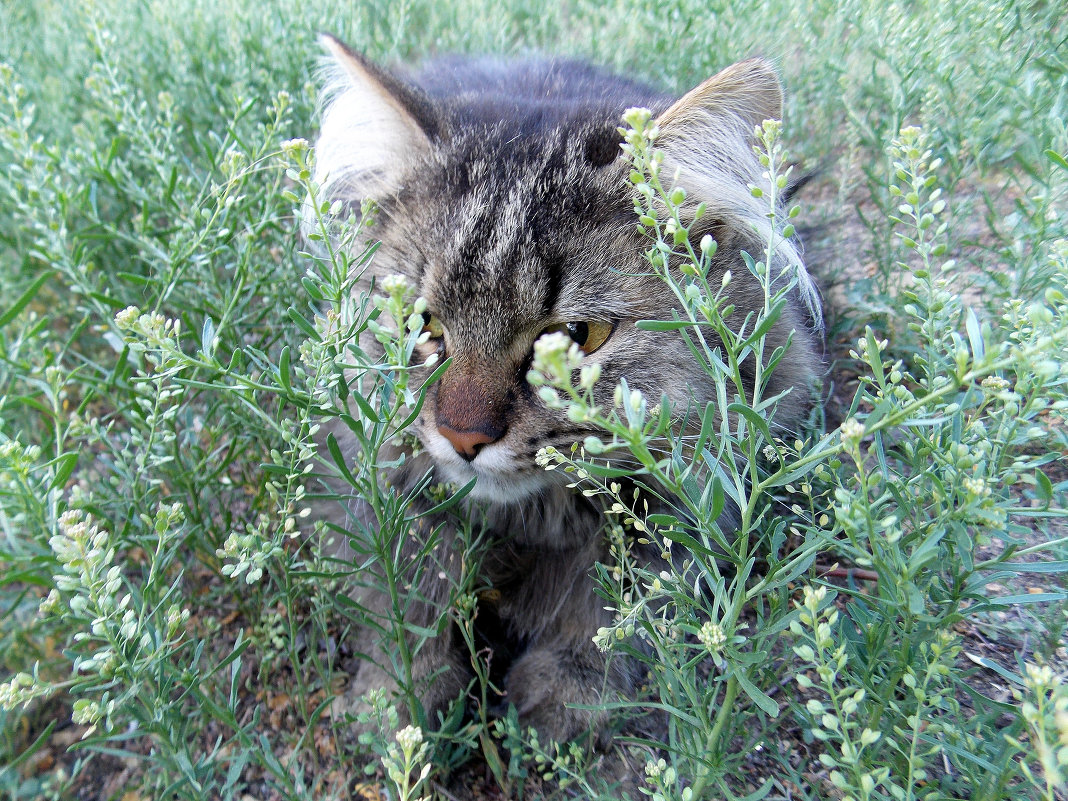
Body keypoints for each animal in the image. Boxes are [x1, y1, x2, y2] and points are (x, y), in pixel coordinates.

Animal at [305, 32, 820, 747]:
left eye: (577, 336)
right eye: (422, 324)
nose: (463, 438)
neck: (528, 521)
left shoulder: (681, 501)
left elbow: (620, 607)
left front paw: (573, 696)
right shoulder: (373, 476)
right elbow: (404, 594)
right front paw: (399, 702)